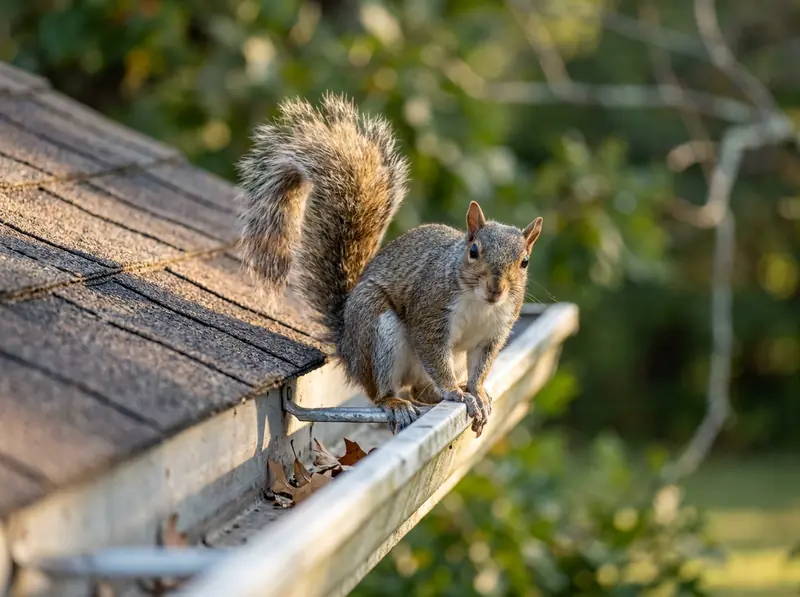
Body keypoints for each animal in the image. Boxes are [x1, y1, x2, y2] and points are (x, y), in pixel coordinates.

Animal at [237, 93, 543, 436]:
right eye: (473, 251)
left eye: (525, 262)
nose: (495, 288)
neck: (479, 303)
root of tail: (348, 344)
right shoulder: (430, 312)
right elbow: (434, 354)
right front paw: (456, 392)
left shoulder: (494, 332)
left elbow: (482, 364)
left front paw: (475, 391)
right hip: (378, 330)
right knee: (382, 391)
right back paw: (397, 402)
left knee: (422, 390)